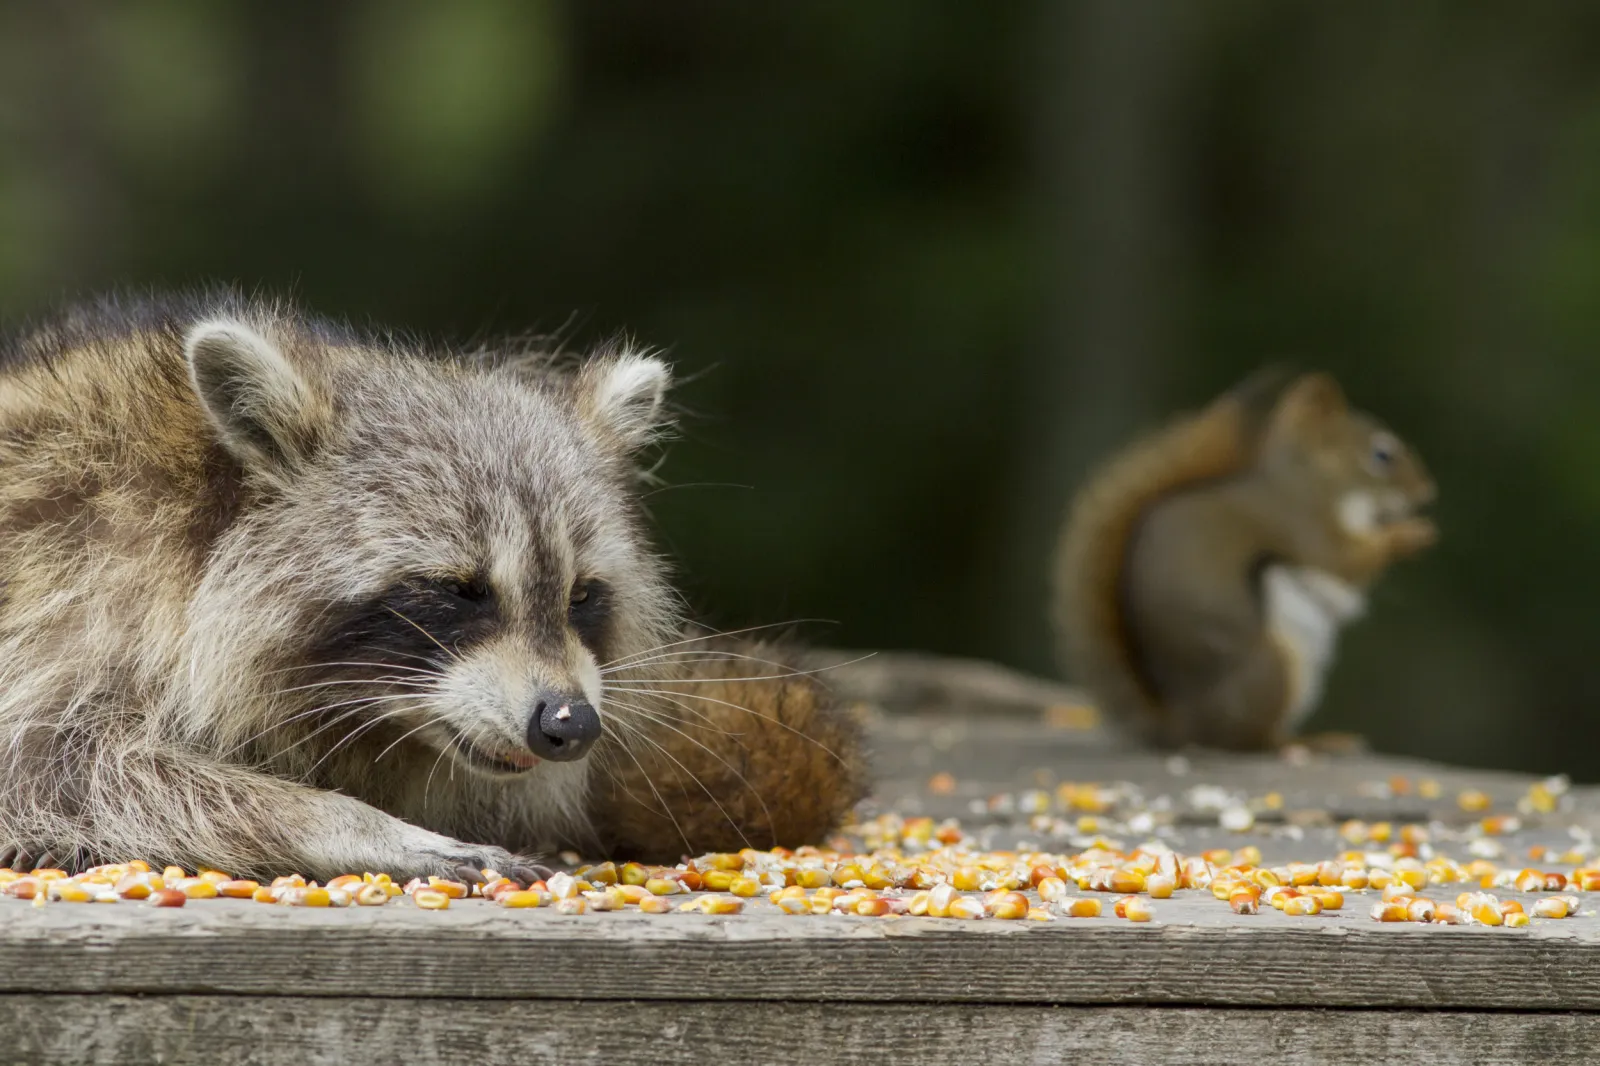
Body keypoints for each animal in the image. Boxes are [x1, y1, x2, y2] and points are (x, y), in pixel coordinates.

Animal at [0, 292, 865, 880]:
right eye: (460, 591)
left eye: (581, 595)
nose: (570, 724)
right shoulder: (71, 594)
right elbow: (59, 770)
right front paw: (346, 823)